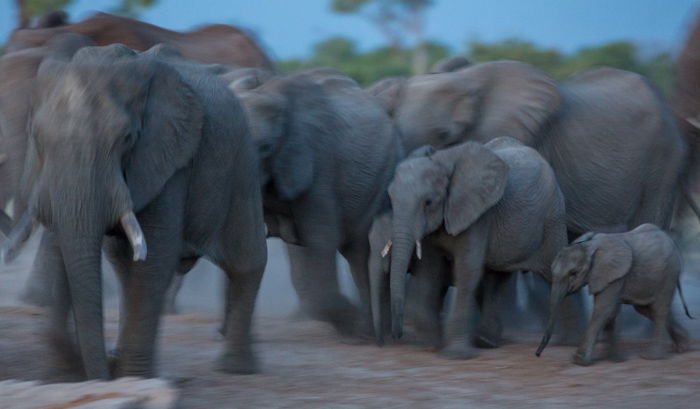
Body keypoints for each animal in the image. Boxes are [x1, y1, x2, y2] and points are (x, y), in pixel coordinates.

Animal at [4, 43, 268, 378]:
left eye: (127, 139)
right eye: (36, 137)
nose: (101, 371)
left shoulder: (169, 158)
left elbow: (154, 256)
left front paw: (126, 376)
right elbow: (64, 243)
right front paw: (76, 372)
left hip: (240, 162)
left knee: (245, 261)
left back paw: (235, 368)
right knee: (123, 265)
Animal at [231, 66, 404, 334]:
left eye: (266, 148)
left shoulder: (317, 160)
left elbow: (322, 238)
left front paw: (353, 325)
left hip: (382, 173)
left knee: (358, 251)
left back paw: (368, 331)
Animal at [540, 225, 692, 364]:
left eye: (573, 273)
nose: (537, 354)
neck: (588, 246)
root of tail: (672, 242)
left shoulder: (614, 274)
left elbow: (603, 310)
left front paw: (579, 360)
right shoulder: (605, 276)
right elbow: (610, 313)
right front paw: (614, 359)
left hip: (669, 273)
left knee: (658, 310)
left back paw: (652, 357)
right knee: (646, 309)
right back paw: (683, 346)